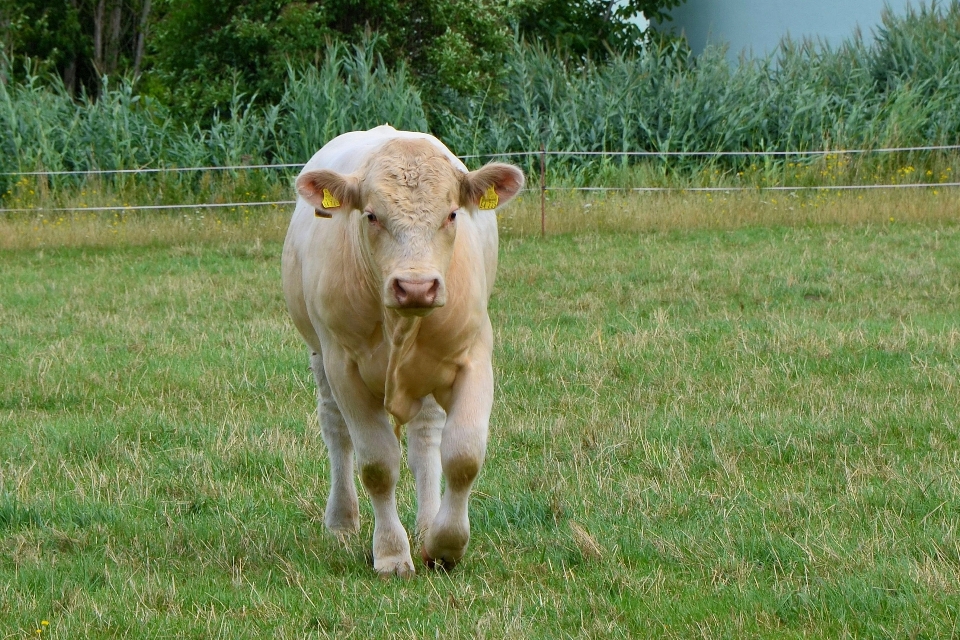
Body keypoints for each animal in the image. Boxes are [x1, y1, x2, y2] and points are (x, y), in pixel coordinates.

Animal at [282, 124, 524, 576]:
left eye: (452, 214)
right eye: (371, 215)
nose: (416, 287)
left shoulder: (474, 356)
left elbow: (463, 455)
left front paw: (445, 544)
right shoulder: (343, 366)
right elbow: (377, 464)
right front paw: (392, 553)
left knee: (426, 438)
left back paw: (427, 521)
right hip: (320, 356)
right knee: (335, 429)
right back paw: (341, 521)